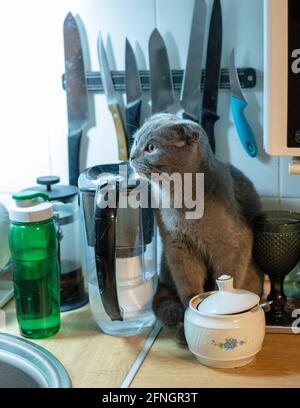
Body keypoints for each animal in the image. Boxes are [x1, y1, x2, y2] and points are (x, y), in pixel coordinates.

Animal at [130, 114, 264, 328]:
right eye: (135, 142)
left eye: (151, 147)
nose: (131, 156)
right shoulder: (177, 245)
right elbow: (188, 280)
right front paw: (190, 306)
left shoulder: (232, 245)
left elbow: (228, 274)